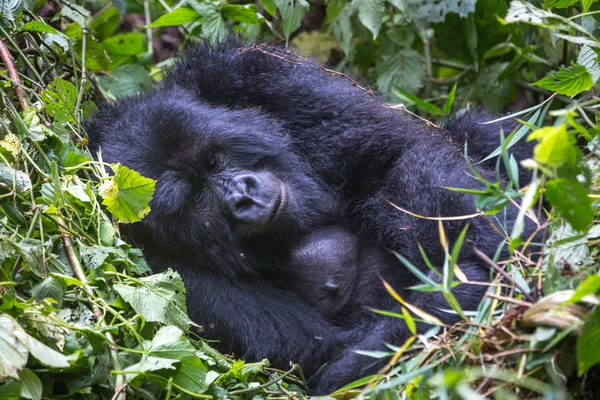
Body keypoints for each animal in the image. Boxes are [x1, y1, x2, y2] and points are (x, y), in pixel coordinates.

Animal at [84, 39, 536, 392]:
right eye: (194, 199)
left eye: (213, 161)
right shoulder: (159, 270)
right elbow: (329, 360)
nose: (242, 197)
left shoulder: (250, 72)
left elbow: (399, 156)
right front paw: (457, 292)